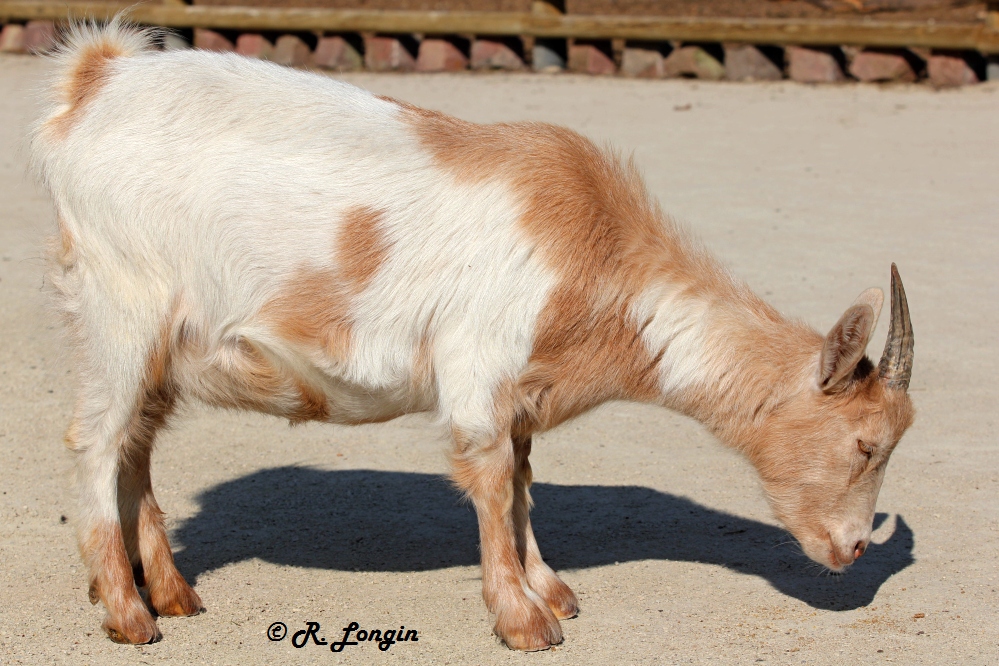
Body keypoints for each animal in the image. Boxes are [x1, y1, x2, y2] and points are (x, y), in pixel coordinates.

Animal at [27, 20, 916, 648]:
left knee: (137, 441)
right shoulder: (479, 369)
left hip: (155, 340)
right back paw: (128, 614)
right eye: (865, 444)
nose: (852, 551)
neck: (592, 252)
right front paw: (524, 620)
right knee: (95, 441)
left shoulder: (521, 390)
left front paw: (549, 587)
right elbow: (489, 481)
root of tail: (94, 78)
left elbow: (521, 482)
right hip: (122, 303)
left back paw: (169, 592)